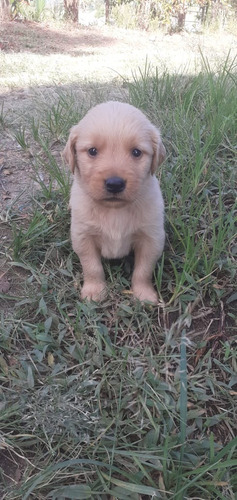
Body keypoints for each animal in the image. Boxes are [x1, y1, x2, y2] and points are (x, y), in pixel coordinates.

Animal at [64, 100, 166, 302]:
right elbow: (92, 267)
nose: (115, 184)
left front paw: (143, 294)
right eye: (92, 151)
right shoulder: (83, 237)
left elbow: (143, 270)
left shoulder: (152, 238)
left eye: (136, 152)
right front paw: (94, 291)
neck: (114, 210)